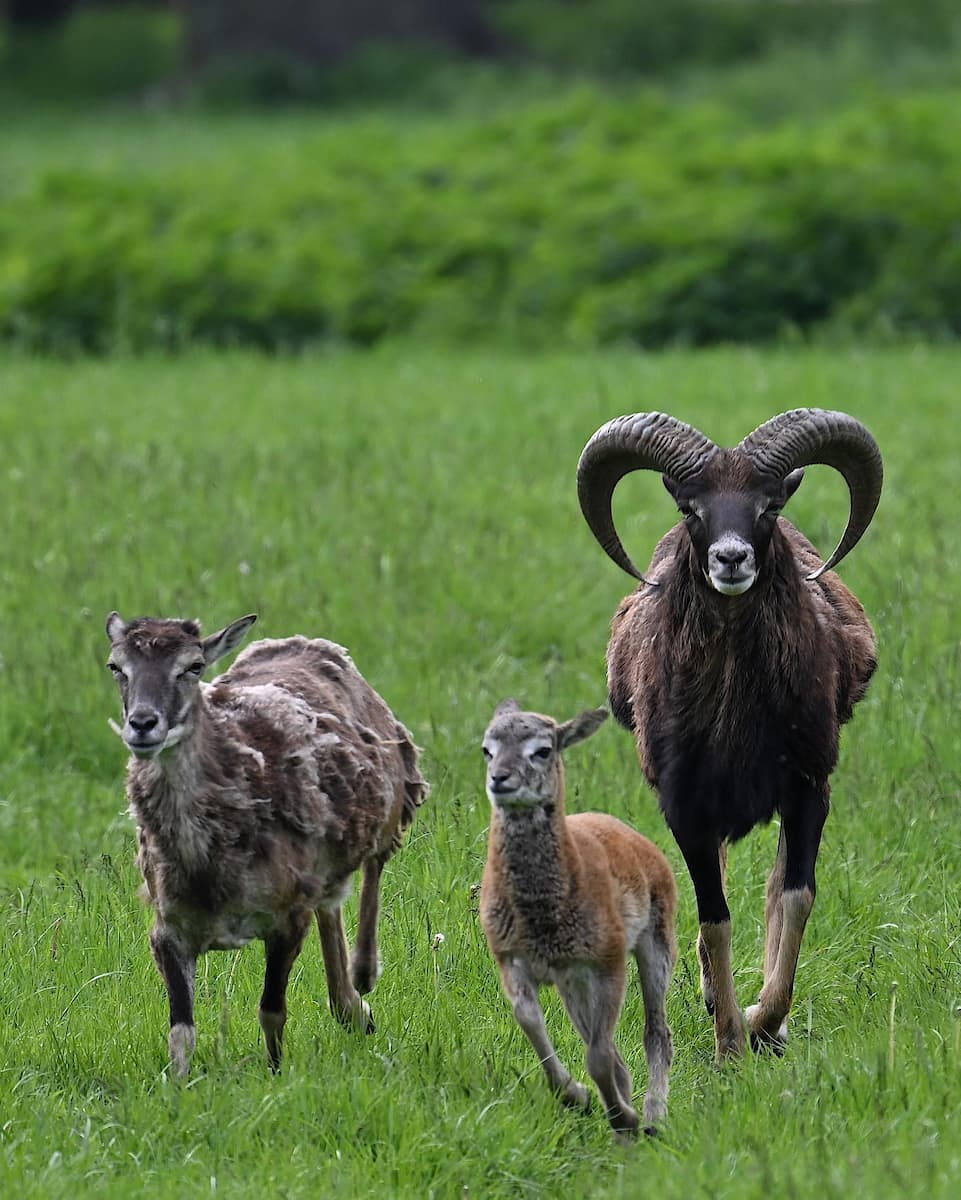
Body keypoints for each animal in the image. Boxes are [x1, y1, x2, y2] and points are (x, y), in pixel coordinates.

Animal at [101, 614, 427, 1075]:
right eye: (116, 666)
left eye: (193, 666)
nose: (143, 723)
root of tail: (303, 642)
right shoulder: (170, 929)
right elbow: (181, 1032)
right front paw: (177, 1086)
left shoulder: (286, 919)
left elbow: (271, 1010)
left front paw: (275, 1075)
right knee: (331, 901)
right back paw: (353, 1009)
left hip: (395, 797)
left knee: (373, 869)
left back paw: (364, 976)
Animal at [477, 700, 676, 1137]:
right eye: (487, 749)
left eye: (543, 750)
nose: (500, 778)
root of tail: (644, 846)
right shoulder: (513, 960)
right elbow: (529, 1020)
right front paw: (578, 1096)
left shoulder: (608, 963)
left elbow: (598, 1054)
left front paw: (625, 1118)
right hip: (573, 986)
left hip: (656, 947)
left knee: (656, 1032)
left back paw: (653, 1117)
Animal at [573, 410, 883, 1060]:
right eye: (692, 508)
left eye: (768, 505)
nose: (731, 559)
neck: (737, 716)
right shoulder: (687, 807)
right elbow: (714, 916)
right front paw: (730, 1044)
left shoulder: (807, 790)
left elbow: (794, 898)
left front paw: (766, 1023)